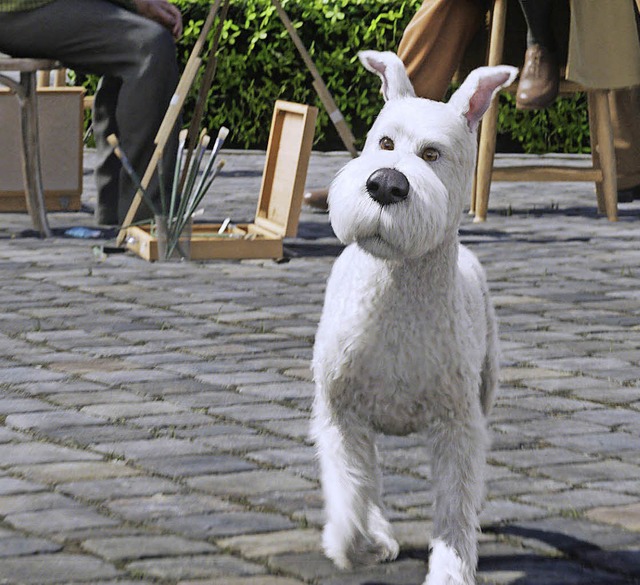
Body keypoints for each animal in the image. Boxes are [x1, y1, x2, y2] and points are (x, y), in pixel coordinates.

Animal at [312, 51, 520, 584]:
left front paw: (450, 569)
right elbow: (350, 487)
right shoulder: (340, 414)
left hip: (487, 381)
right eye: (385, 142)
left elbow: (454, 506)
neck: (397, 291)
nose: (386, 184)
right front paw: (355, 543)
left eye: (433, 154)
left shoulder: (458, 425)